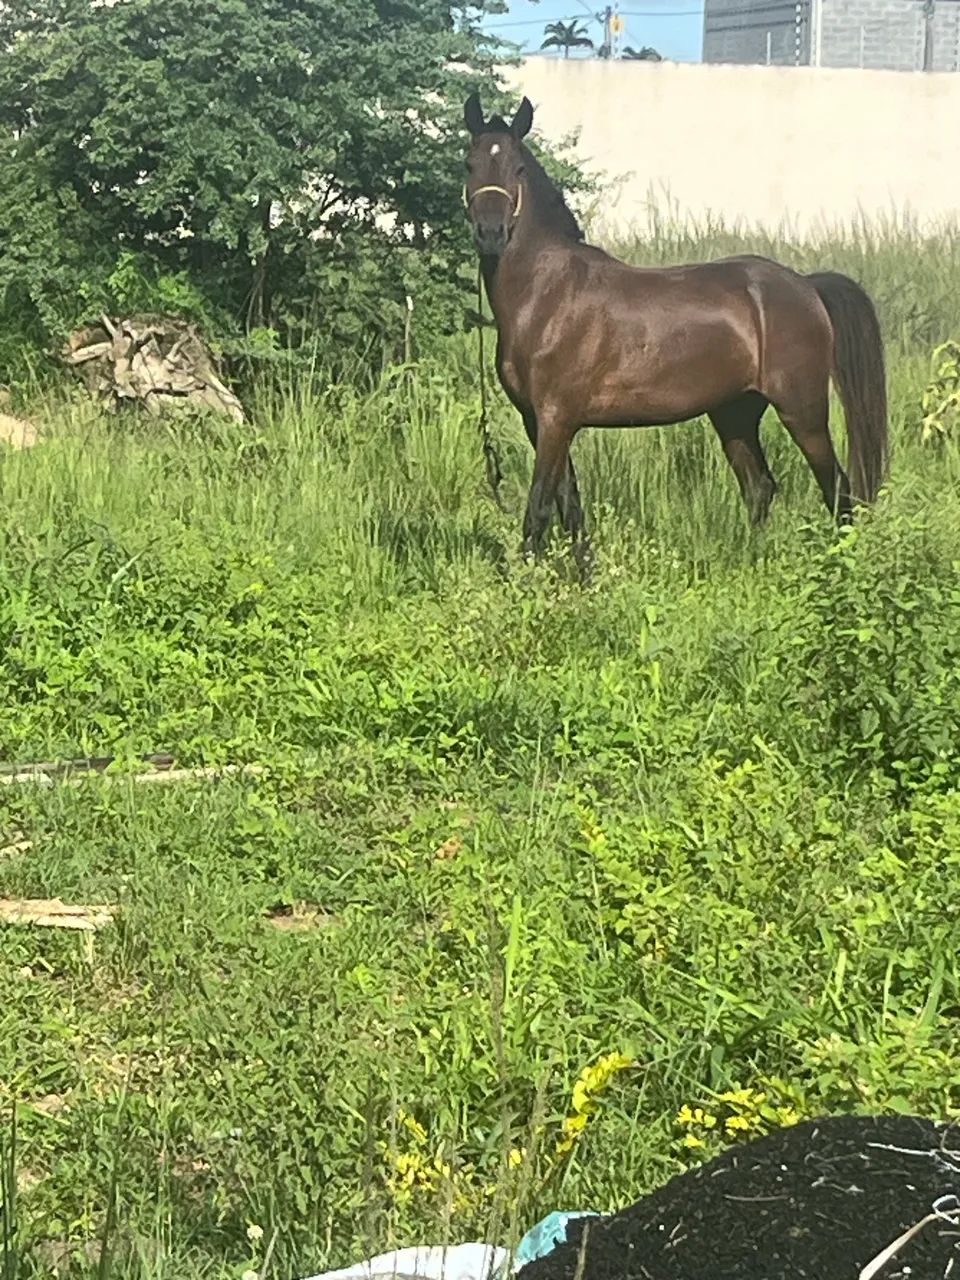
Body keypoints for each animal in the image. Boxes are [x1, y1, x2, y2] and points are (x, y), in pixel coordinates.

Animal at [462, 92, 888, 568]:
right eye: (470, 163)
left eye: (518, 167)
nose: (491, 233)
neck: (548, 294)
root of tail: (807, 285)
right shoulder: (537, 420)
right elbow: (570, 505)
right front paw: (581, 575)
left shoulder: (556, 418)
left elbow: (538, 507)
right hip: (735, 413)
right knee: (760, 487)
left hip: (803, 410)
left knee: (837, 488)